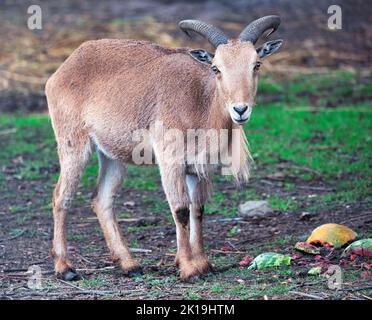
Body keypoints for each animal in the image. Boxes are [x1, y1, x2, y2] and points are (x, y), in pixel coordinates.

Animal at [46, 16, 284, 282]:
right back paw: (65, 268)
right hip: (73, 142)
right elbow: (180, 209)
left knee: (102, 198)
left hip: (111, 154)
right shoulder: (170, 159)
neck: (200, 102)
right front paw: (189, 268)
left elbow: (197, 210)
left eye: (256, 64)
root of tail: (65, 67)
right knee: (61, 196)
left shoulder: (196, 168)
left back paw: (130, 264)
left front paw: (203, 264)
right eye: (216, 68)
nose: (240, 109)